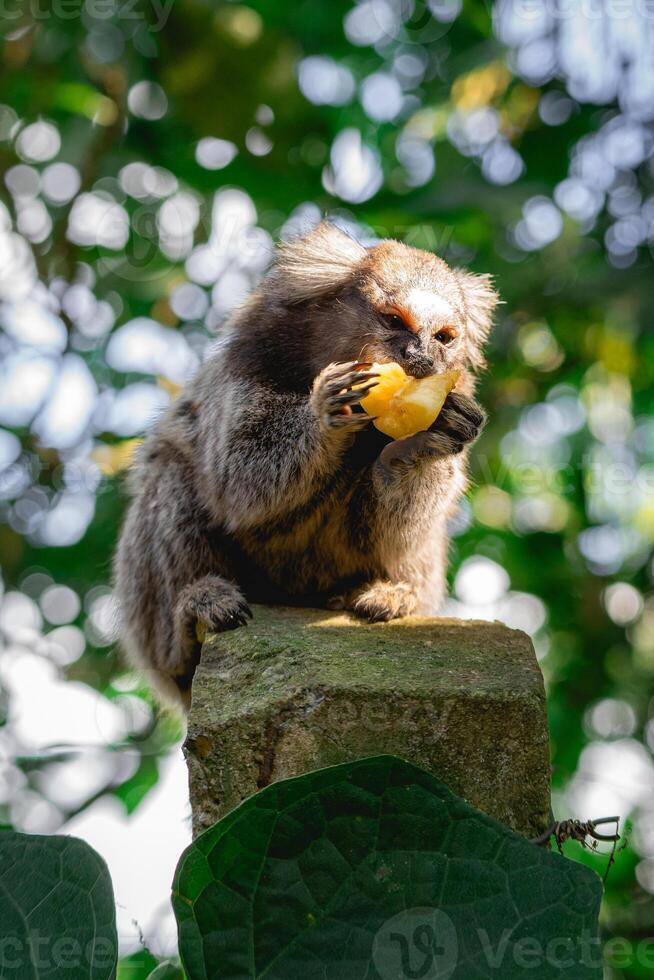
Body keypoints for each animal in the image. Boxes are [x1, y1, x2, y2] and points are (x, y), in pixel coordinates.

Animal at [115, 222, 500, 704]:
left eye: (444, 337)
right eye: (394, 321)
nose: (423, 359)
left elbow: (391, 525)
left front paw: (418, 445)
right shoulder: (246, 364)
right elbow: (236, 479)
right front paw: (324, 412)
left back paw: (391, 594)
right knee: (171, 475)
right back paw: (192, 616)